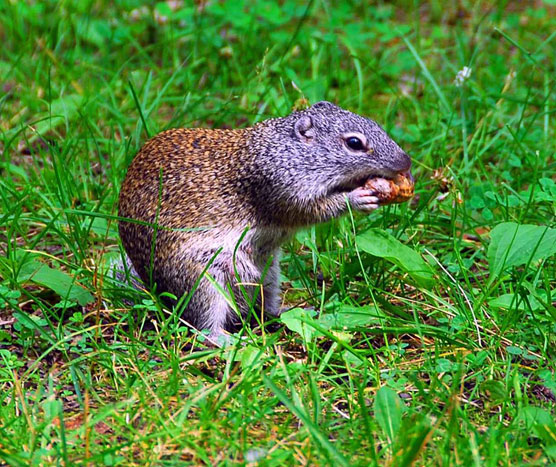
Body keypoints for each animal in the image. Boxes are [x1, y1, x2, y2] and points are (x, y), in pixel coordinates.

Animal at [118, 102, 412, 342]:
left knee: (266, 308)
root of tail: (156, 288)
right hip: (204, 281)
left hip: (269, 272)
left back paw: (294, 311)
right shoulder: (280, 189)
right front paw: (357, 198)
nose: (406, 162)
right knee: (202, 326)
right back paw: (225, 339)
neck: (290, 151)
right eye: (353, 143)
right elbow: (313, 210)